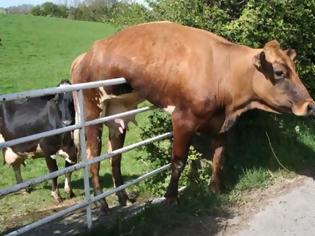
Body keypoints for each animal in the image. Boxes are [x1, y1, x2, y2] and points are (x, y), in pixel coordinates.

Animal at [71, 20, 315, 212]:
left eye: (294, 69)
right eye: (279, 72)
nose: (310, 105)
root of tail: (85, 55)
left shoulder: (221, 124)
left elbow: (218, 156)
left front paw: (215, 189)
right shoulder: (183, 119)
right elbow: (178, 161)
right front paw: (171, 198)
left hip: (117, 112)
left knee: (115, 157)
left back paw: (123, 197)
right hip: (92, 110)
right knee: (93, 157)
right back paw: (101, 204)